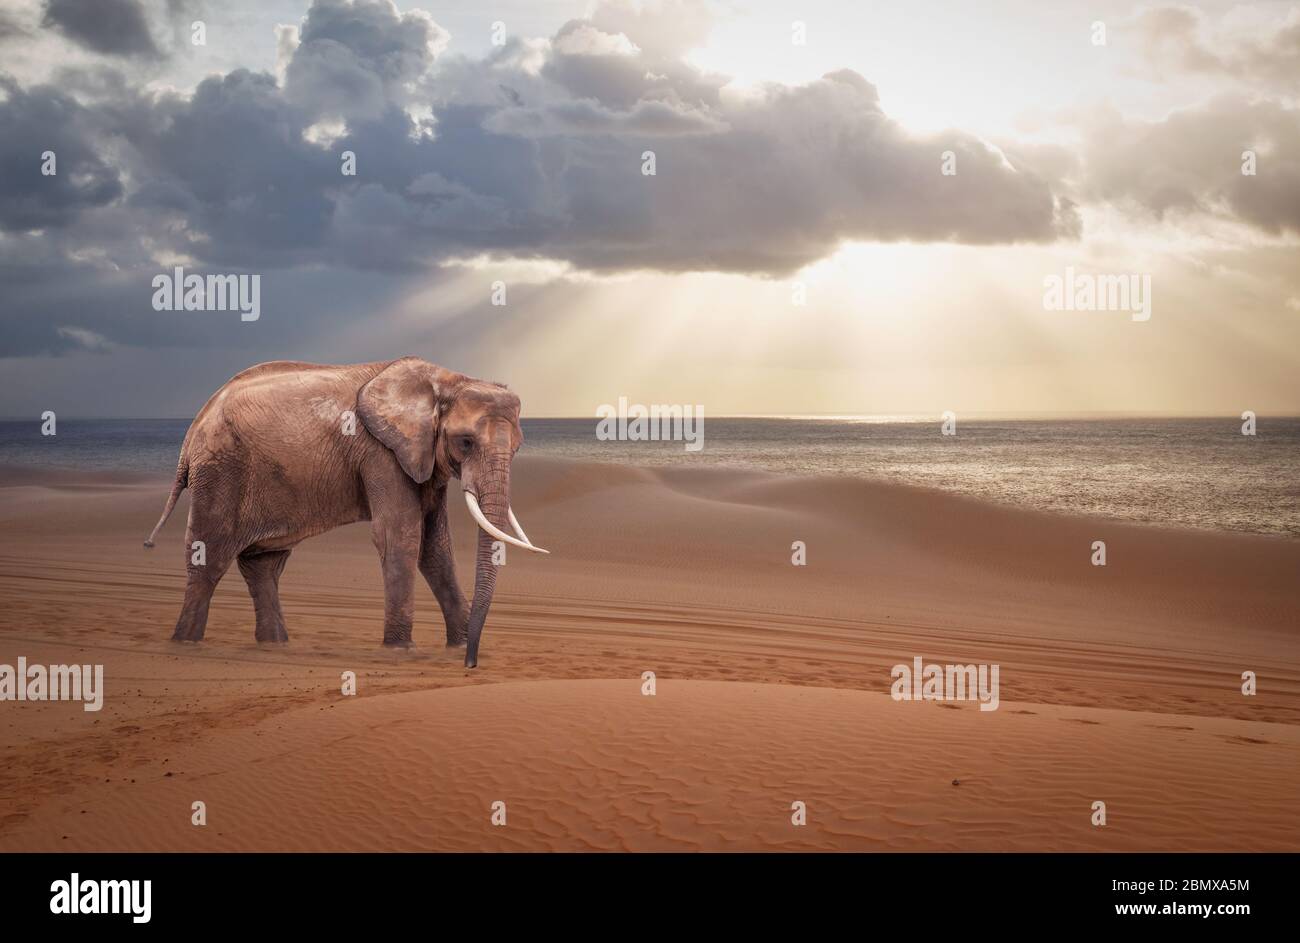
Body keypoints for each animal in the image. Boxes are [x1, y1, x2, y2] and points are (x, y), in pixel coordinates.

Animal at [143, 358, 547, 668]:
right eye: (465, 442)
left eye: (518, 446)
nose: (472, 664)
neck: (445, 380)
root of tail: (193, 428)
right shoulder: (380, 451)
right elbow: (401, 535)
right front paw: (401, 650)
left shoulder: (422, 459)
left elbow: (435, 548)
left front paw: (458, 644)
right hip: (220, 470)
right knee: (208, 558)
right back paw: (186, 644)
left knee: (264, 565)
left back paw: (275, 646)